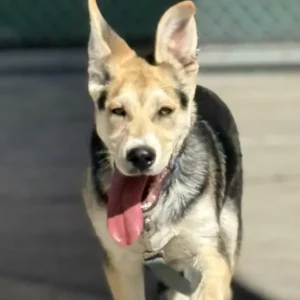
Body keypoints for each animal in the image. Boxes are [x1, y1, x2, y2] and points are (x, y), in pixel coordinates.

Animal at [81, 0, 241, 300]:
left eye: (165, 111)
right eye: (118, 111)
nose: (141, 156)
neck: (151, 218)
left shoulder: (212, 255)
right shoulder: (120, 263)